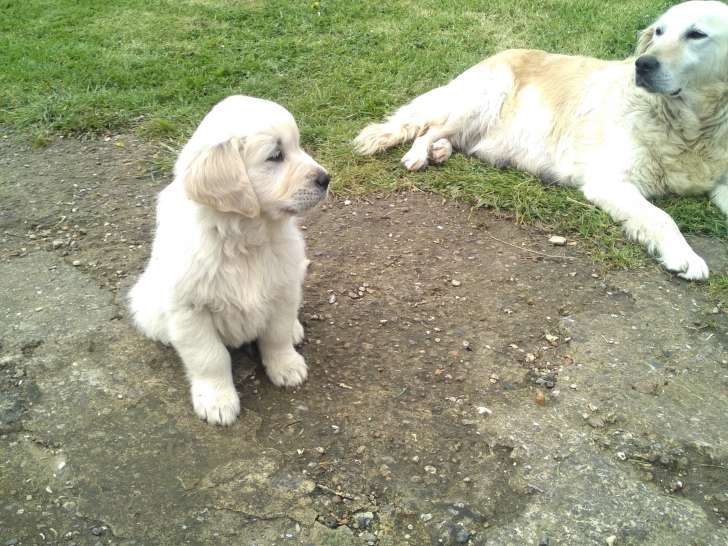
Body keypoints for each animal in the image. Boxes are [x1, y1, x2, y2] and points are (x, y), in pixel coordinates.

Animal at [130, 95, 330, 422]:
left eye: (298, 145)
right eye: (276, 155)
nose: (326, 179)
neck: (243, 240)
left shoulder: (282, 290)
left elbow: (276, 336)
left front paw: (287, 366)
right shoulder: (190, 310)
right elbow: (209, 357)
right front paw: (217, 400)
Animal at [356, 0, 728, 278]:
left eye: (696, 34)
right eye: (660, 31)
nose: (643, 64)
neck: (691, 127)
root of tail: (494, 56)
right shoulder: (610, 182)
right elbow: (662, 217)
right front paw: (685, 255)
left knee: (447, 135)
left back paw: (440, 151)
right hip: (482, 99)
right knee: (429, 127)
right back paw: (420, 154)